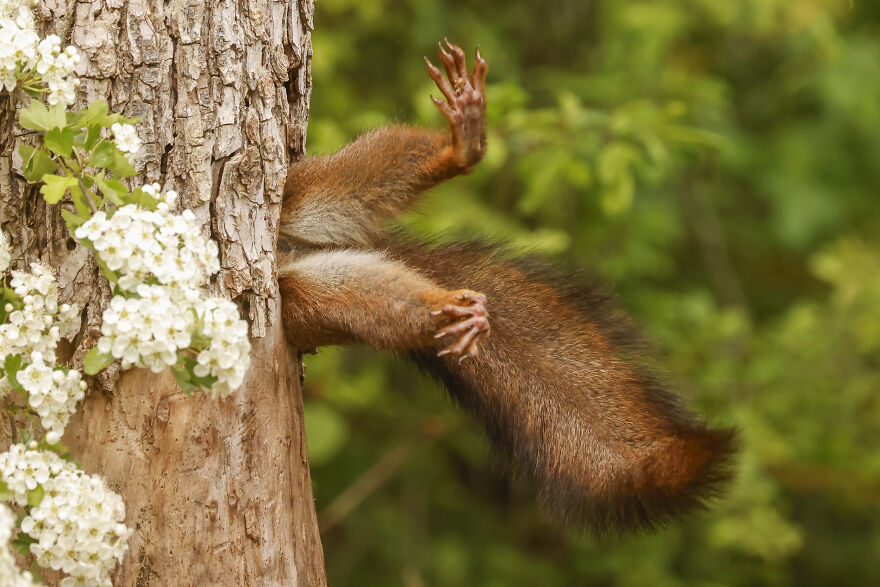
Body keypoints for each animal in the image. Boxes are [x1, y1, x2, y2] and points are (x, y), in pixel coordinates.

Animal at [280, 40, 736, 536]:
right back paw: (452, 309)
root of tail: (291, 252)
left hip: (300, 193)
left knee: (354, 178)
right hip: (305, 299)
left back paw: (461, 147)